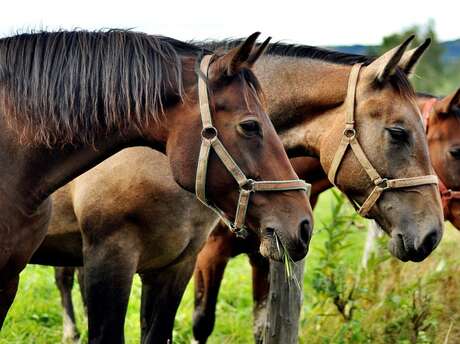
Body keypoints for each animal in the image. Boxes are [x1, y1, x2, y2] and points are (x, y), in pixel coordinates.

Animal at [190, 88, 460, 342]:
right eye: (456, 151)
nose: (431, 235)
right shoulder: (208, 254)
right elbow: (202, 323)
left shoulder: (265, 255)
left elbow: (261, 328)